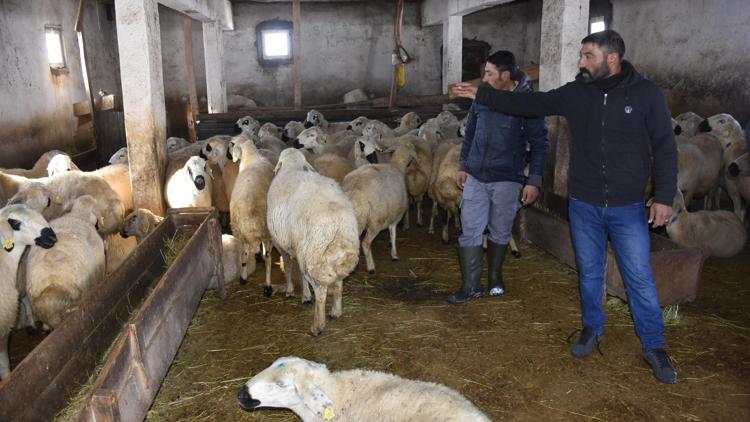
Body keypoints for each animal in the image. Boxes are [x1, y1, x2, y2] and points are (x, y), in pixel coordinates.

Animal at [268, 148, 362, 336]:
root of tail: (337, 222)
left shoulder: (282, 244)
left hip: (312, 255)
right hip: (334, 256)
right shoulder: (297, 248)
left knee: (320, 290)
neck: (292, 166)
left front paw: (294, 292)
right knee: (338, 283)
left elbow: (289, 267)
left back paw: (317, 325)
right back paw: (336, 311)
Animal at [342, 142, 414, 274]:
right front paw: (394, 254)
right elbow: (393, 234)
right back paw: (371, 267)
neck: (397, 166)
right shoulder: (395, 216)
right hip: (375, 221)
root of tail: (354, 190)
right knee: (365, 243)